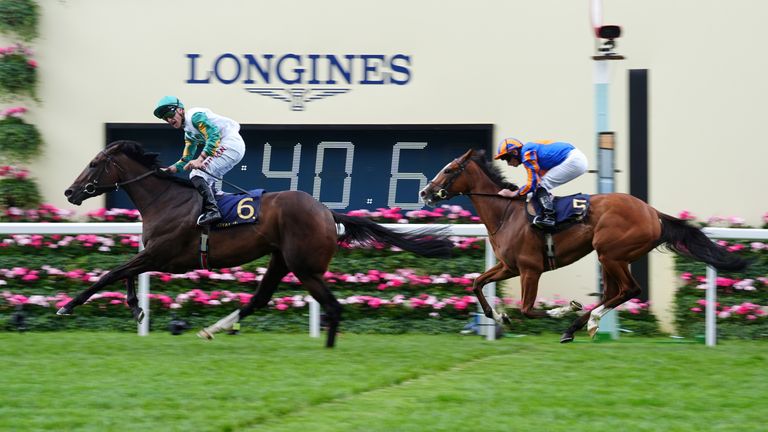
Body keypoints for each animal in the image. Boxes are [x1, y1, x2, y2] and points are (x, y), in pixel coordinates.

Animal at [64, 141, 456, 348]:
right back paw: (215, 328)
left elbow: (111, 274)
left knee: (332, 307)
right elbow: (124, 274)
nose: (70, 191)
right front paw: (135, 309)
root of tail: (327, 211)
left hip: (304, 266)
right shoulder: (153, 255)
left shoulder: (162, 255)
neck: (165, 199)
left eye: (95, 164)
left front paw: (68, 306)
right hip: (281, 259)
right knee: (260, 299)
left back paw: (328, 349)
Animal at [416, 150, 748, 342]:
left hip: (610, 253)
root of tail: (653, 212)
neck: (505, 213)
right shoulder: (509, 266)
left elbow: (527, 309)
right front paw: (500, 317)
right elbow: (477, 284)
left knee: (629, 290)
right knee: (615, 292)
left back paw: (585, 322)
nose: (425, 192)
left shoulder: (530, 269)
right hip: (611, 257)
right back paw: (580, 326)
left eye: (449, 169)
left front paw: (561, 311)